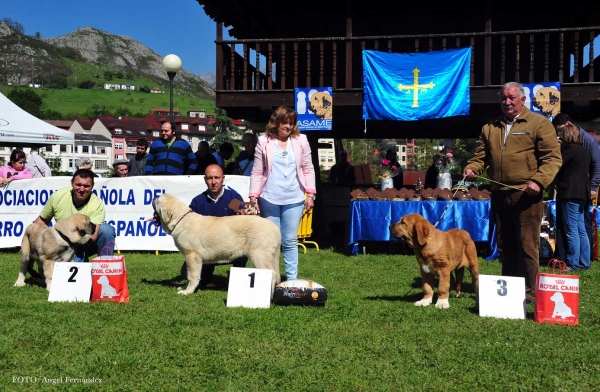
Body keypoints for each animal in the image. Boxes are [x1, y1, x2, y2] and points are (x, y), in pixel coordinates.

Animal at [150, 193, 282, 294]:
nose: (153, 197)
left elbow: (192, 276)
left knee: (272, 273)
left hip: (258, 255)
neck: (180, 220)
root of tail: (275, 228)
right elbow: (188, 275)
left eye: (158, 199)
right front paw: (184, 287)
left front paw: (187, 291)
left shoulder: (192, 256)